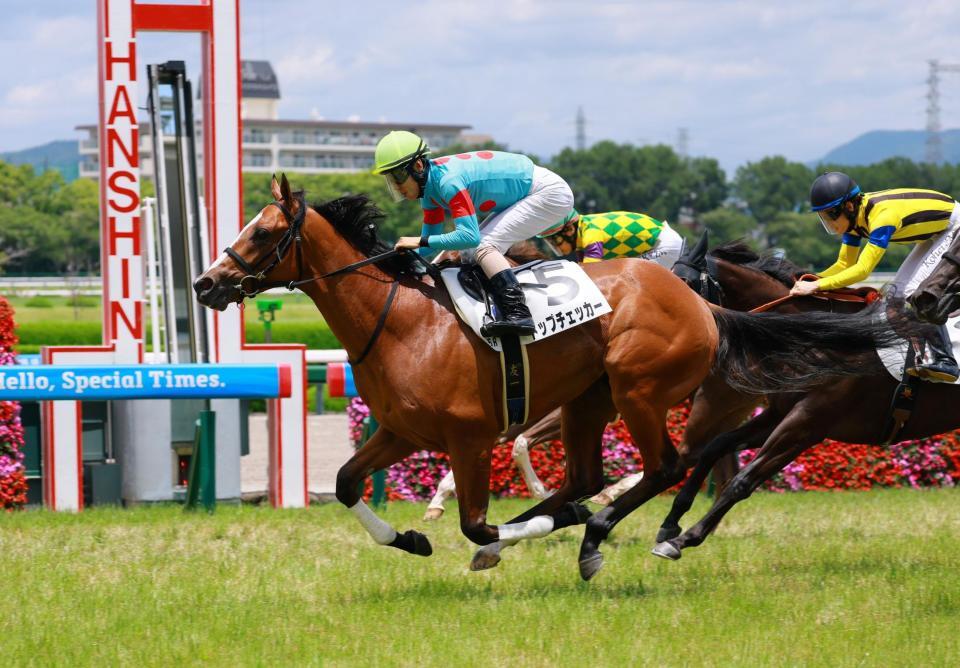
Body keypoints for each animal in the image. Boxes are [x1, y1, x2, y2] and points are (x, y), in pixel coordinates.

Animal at [194, 175, 908, 580]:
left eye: (263, 231)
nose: (206, 283)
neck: (402, 322)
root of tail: (701, 302)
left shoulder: (468, 437)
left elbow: (477, 524)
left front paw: (497, 540)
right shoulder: (401, 431)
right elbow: (346, 484)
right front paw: (411, 538)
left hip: (638, 389)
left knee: (665, 465)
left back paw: (596, 534)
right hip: (591, 399)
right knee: (590, 475)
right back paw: (583, 518)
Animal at [646, 240, 959, 562]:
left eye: (684, 284)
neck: (818, 338)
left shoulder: (808, 424)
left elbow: (742, 481)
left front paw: (684, 539)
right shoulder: (780, 413)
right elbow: (715, 446)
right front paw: (671, 523)